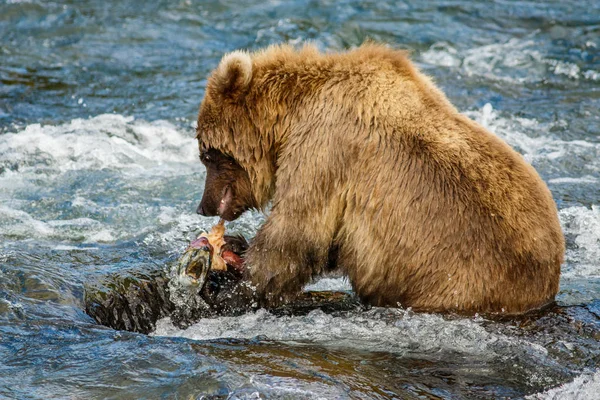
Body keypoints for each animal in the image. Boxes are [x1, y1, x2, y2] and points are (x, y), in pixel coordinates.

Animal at [195, 42, 564, 314]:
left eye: (207, 153)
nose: (203, 206)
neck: (289, 118)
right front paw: (235, 246)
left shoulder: (324, 150)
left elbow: (296, 234)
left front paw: (229, 289)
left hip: (462, 279)